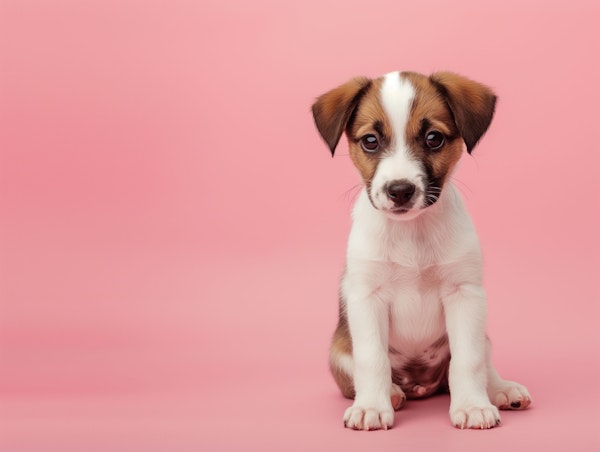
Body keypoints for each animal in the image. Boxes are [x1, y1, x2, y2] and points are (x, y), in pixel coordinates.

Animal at [312, 71, 532, 430]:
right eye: (370, 141)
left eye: (433, 138)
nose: (400, 190)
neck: (411, 232)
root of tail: (420, 384)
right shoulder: (366, 297)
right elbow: (372, 359)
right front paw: (371, 406)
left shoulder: (464, 294)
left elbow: (468, 361)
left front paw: (471, 405)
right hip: (340, 351)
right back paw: (392, 393)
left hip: (481, 333)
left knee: (483, 364)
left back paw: (501, 389)